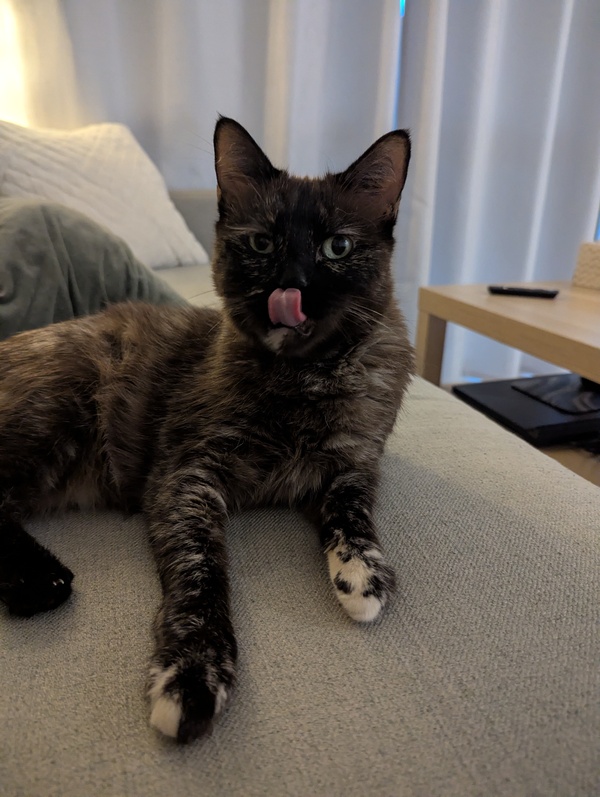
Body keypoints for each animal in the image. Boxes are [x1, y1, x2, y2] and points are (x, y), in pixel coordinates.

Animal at [0, 117, 413, 742]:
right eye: (262, 244)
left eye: (336, 247)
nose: (290, 285)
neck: (302, 379)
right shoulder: (187, 475)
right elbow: (201, 571)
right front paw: (194, 672)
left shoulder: (355, 463)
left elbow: (354, 515)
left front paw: (363, 575)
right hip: (53, 415)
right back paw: (41, 582)